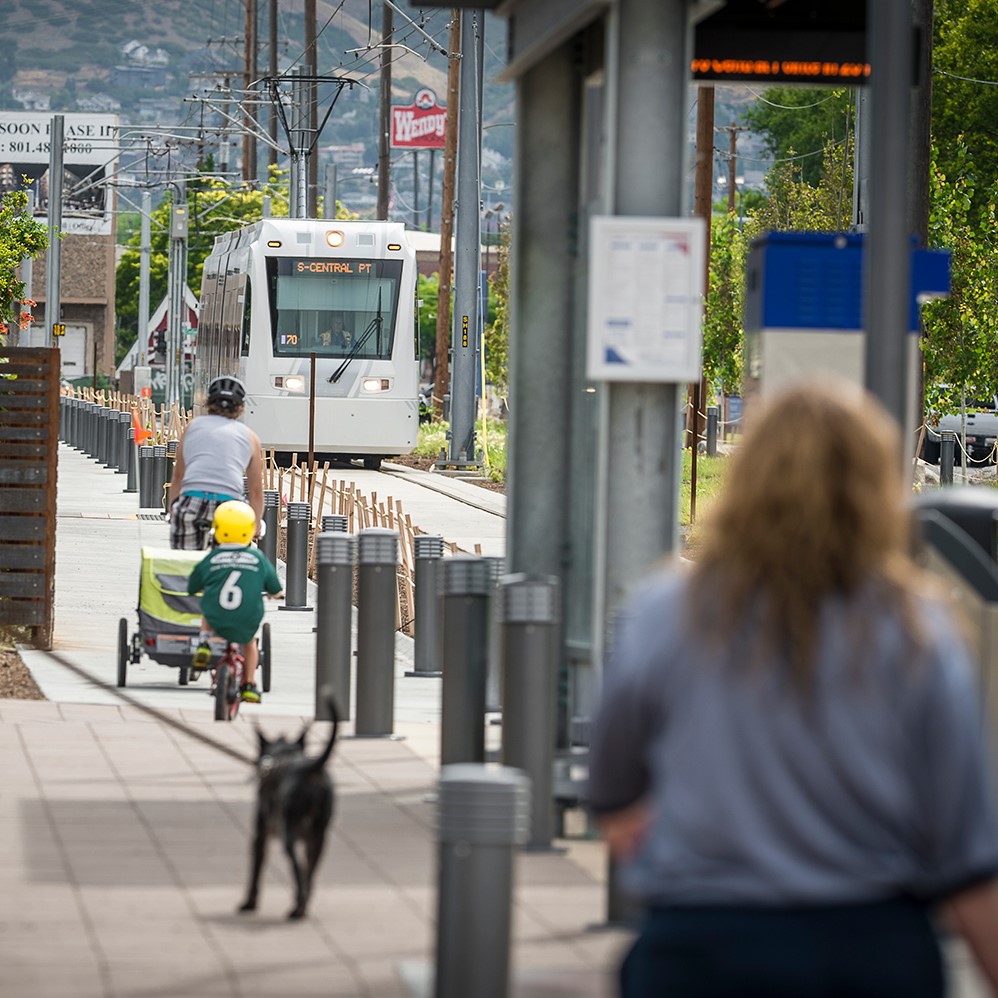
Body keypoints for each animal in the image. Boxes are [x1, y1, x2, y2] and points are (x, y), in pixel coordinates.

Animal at [238, 696, 340, 920]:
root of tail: (311, 770)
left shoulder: (260, 836)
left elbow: (255, 871)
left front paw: (249, 903)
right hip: (318, 838)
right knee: (309, 873)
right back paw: (303, 905)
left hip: (289, 831)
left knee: (297, 867)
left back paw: (297, 908)